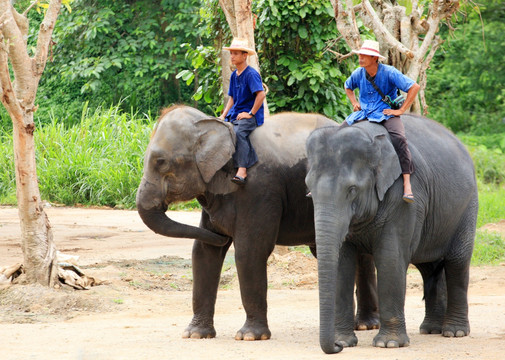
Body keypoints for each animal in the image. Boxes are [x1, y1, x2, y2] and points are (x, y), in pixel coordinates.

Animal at [136, 105, 380, 342]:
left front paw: (249, 336)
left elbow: (250, 251)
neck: (216, 126)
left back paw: (363, 325)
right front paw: (195, 334)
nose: (224, 235)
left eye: (160, 162)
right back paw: (360, 325)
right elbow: (204, 253)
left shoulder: (257, 189)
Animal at [304, 116, 476, 354]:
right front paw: (345, 342)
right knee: (429, 266)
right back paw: (431, 329)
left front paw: (389, 344)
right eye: (309, 189)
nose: (336, 346)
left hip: (467, 207)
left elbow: (390, 258)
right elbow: (342, 262)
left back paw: (454, 332)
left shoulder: (404, 197)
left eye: (352, 190)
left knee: (457, 262)